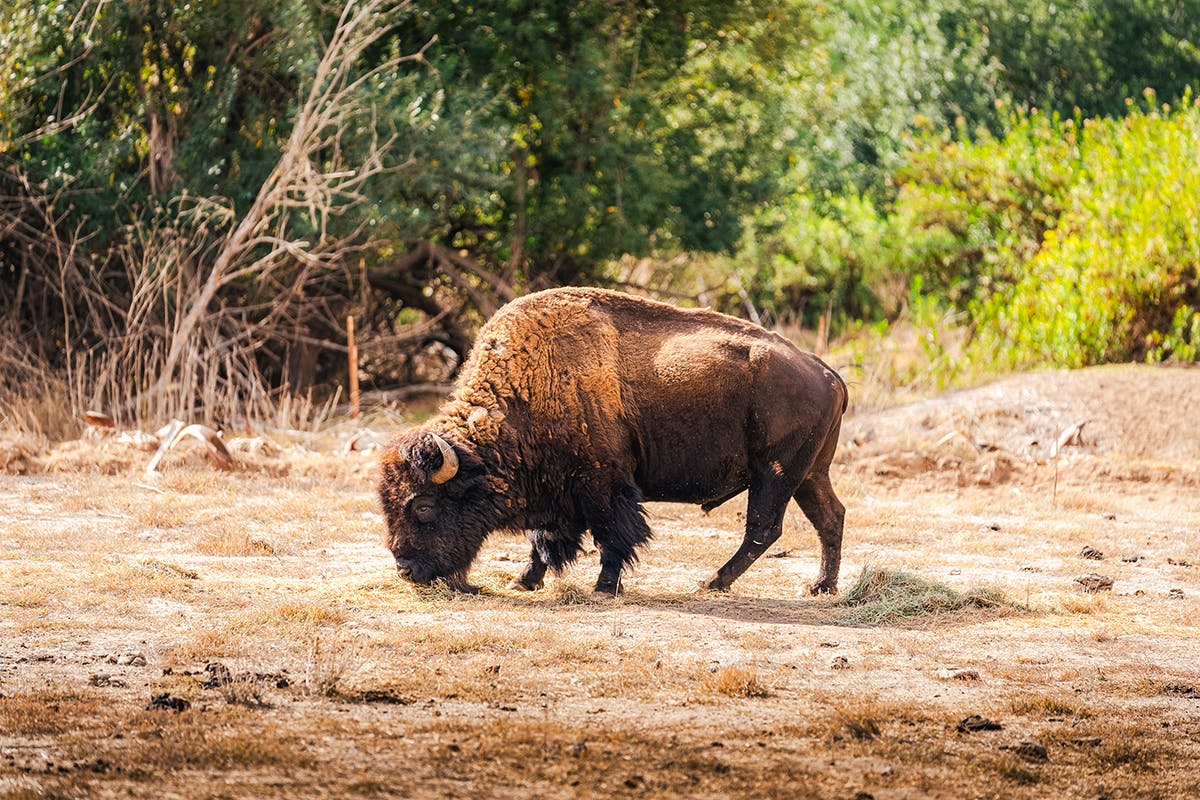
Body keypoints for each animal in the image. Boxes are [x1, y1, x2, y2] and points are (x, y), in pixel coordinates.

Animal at [379, 287, 847, 596]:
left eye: (423, 505)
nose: (406, 569)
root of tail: (825, 372)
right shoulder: (557, 491)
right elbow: (545, 540)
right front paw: (523, 580)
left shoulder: (603, 483)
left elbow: (612, 534)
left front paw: (604, 587)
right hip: (809, 475)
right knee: (830, 517)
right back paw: (819, 587)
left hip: (774, 474)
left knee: (764, 529)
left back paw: (711, 582)